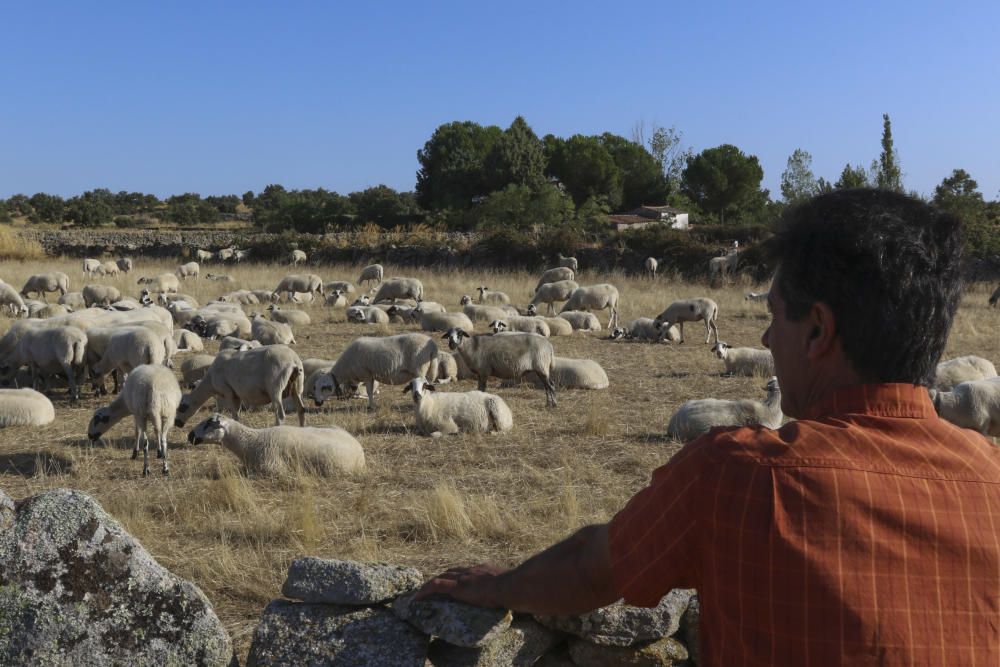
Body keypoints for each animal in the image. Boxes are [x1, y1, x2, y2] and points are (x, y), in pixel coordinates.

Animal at [174, 344, 304, 428]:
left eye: (182, 407)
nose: (176, 423)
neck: (210, 381)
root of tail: (293, 360)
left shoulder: (228, 392)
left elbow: (234, 414)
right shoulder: (237, 394)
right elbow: (236, 413)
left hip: (275, 388)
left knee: (280, 415)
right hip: (297, 387)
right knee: (301, 409)